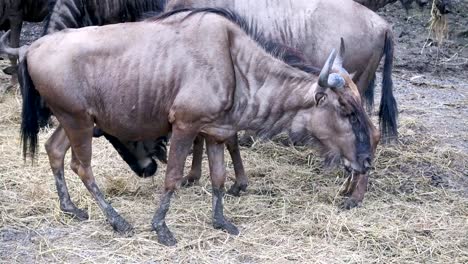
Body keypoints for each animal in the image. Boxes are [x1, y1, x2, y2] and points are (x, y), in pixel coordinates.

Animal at [13, 9, 380, 245]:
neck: (235, 64)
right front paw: (161, 228)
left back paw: (71, 208)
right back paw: (118, 221)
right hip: (77, 121)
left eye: (359, 104)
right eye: (346, 109)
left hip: (75, 120)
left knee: (54, 151)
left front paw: (221, 221)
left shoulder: (215, 132)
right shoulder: (184, 126)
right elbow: (173, 176)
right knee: (82, 166)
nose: (365, 161)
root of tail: (33, 47)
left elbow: (219, 178)